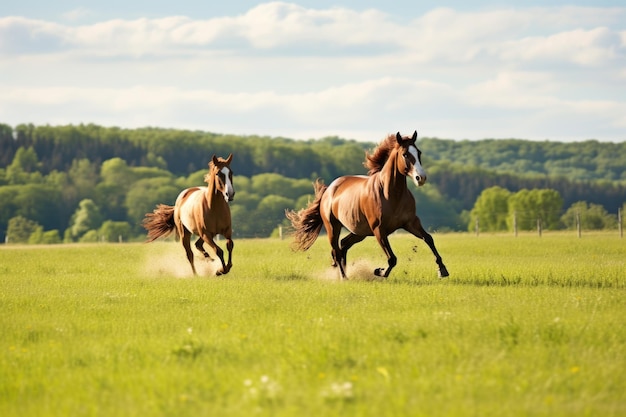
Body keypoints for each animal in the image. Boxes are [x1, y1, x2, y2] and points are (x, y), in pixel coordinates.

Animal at [286, 130, 446, 280]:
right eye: (405, 154)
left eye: (418, 153)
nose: (421, 178)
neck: (390, 194)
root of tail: (329, 190)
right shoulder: (379, 230)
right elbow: (392, 259)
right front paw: (379, 271)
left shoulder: (410, 223)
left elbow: (428, 239)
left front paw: (442, 270)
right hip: (333, 227)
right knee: (336, 251)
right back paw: (344, 277)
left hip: (359, 232)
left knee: (343, 245)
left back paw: (343, 273)